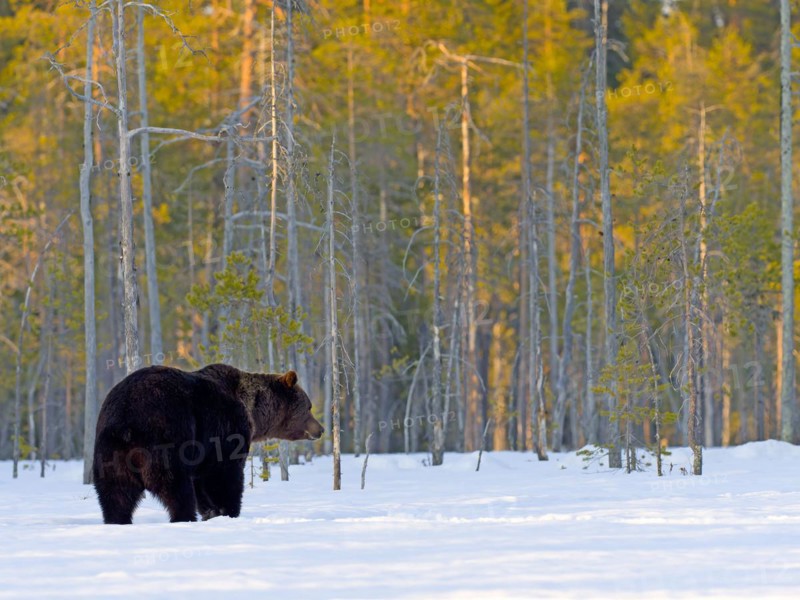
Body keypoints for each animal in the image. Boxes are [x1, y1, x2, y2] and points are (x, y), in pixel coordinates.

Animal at [92, 363, 323, 524]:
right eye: (309, 406)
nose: (320, 429)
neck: (253, 413)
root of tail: (126, 420)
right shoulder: (226, 431)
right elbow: (224, 477)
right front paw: (228, 511)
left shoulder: (204, 451)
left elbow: (203, 483)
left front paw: (212, 512)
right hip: (164, 438)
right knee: (176, 488)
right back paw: (184, 517)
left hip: (110, 452)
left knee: (116, 494)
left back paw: (117, 520)